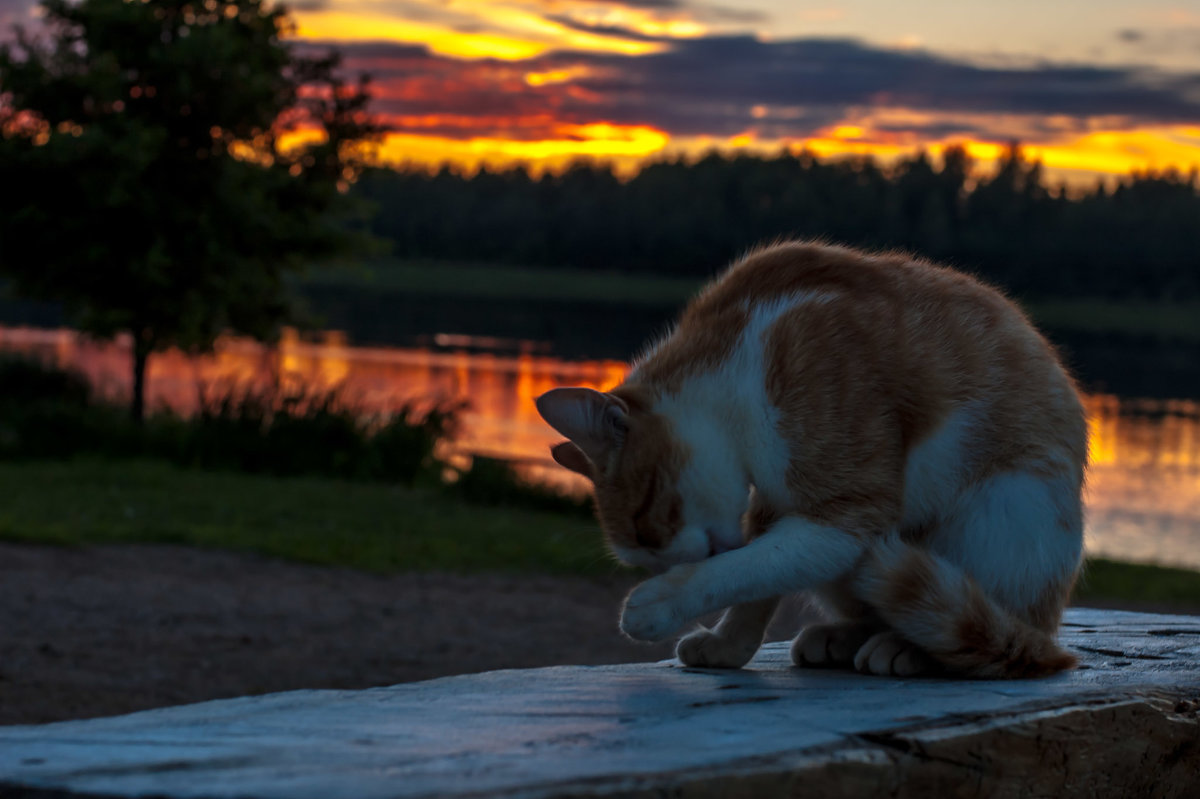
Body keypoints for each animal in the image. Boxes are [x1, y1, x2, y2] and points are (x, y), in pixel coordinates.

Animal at [540, 239, 1084, 676]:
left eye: (648, 521)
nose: (682, 560)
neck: (740, 361)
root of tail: (1051, 633)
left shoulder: (843, 515)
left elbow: (741, 569)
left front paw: (661, 601)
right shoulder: (776, 504)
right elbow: (755, 581)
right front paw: (728, 645)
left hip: (999, 510)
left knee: (996, 639)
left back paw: (911, 649)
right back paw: (844, 639)